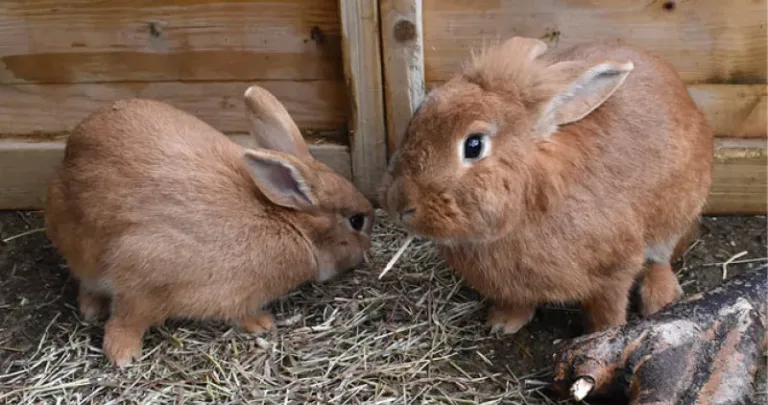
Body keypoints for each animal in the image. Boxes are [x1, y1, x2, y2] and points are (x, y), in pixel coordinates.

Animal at [44, 85, 375, 367]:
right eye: (356, 221)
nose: (365, 252)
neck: (289, 224)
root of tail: (69, 153)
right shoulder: (143, 272)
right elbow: (129, 318)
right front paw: (123, 354)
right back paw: (93, 311)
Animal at [379, 37, 713, 335]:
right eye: (419, 113)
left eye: (473, 145)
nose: (398, 205)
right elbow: (517, 302)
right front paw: (502, 323)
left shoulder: (616, 268)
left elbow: (608, 306)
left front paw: (603, 334)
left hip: (677, 212)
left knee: (661, 259)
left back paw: (660, 299)